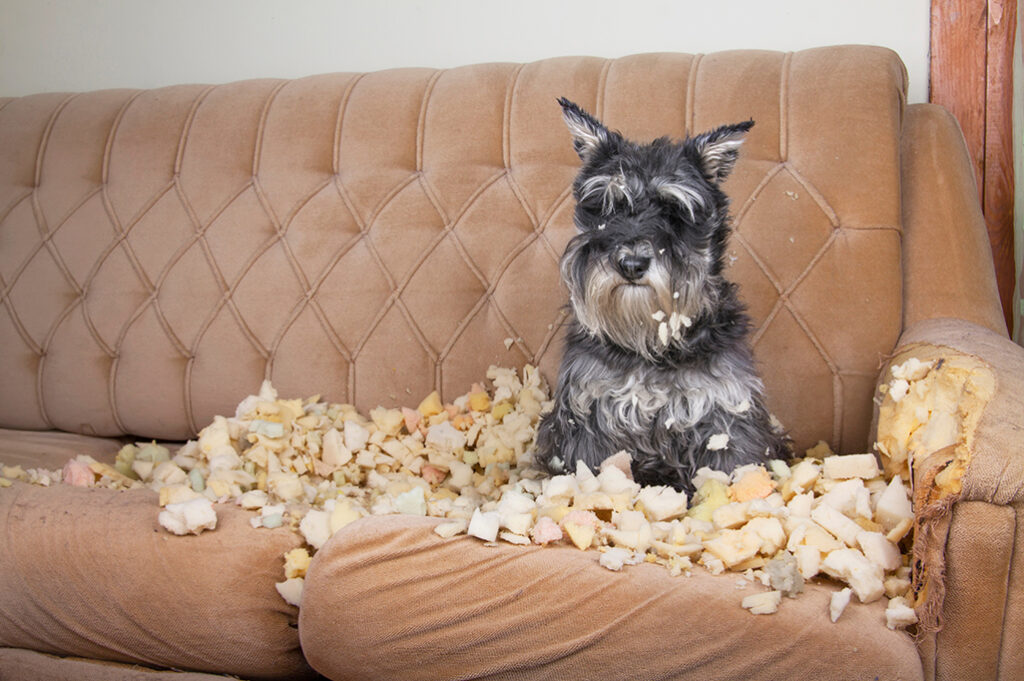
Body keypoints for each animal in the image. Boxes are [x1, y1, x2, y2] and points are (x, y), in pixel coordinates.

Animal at [536, 98, 790, 491]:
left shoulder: (726, 417)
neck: (652, 345)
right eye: (607, 207)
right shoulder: (588, 418)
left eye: (675, 212)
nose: (631, 263)